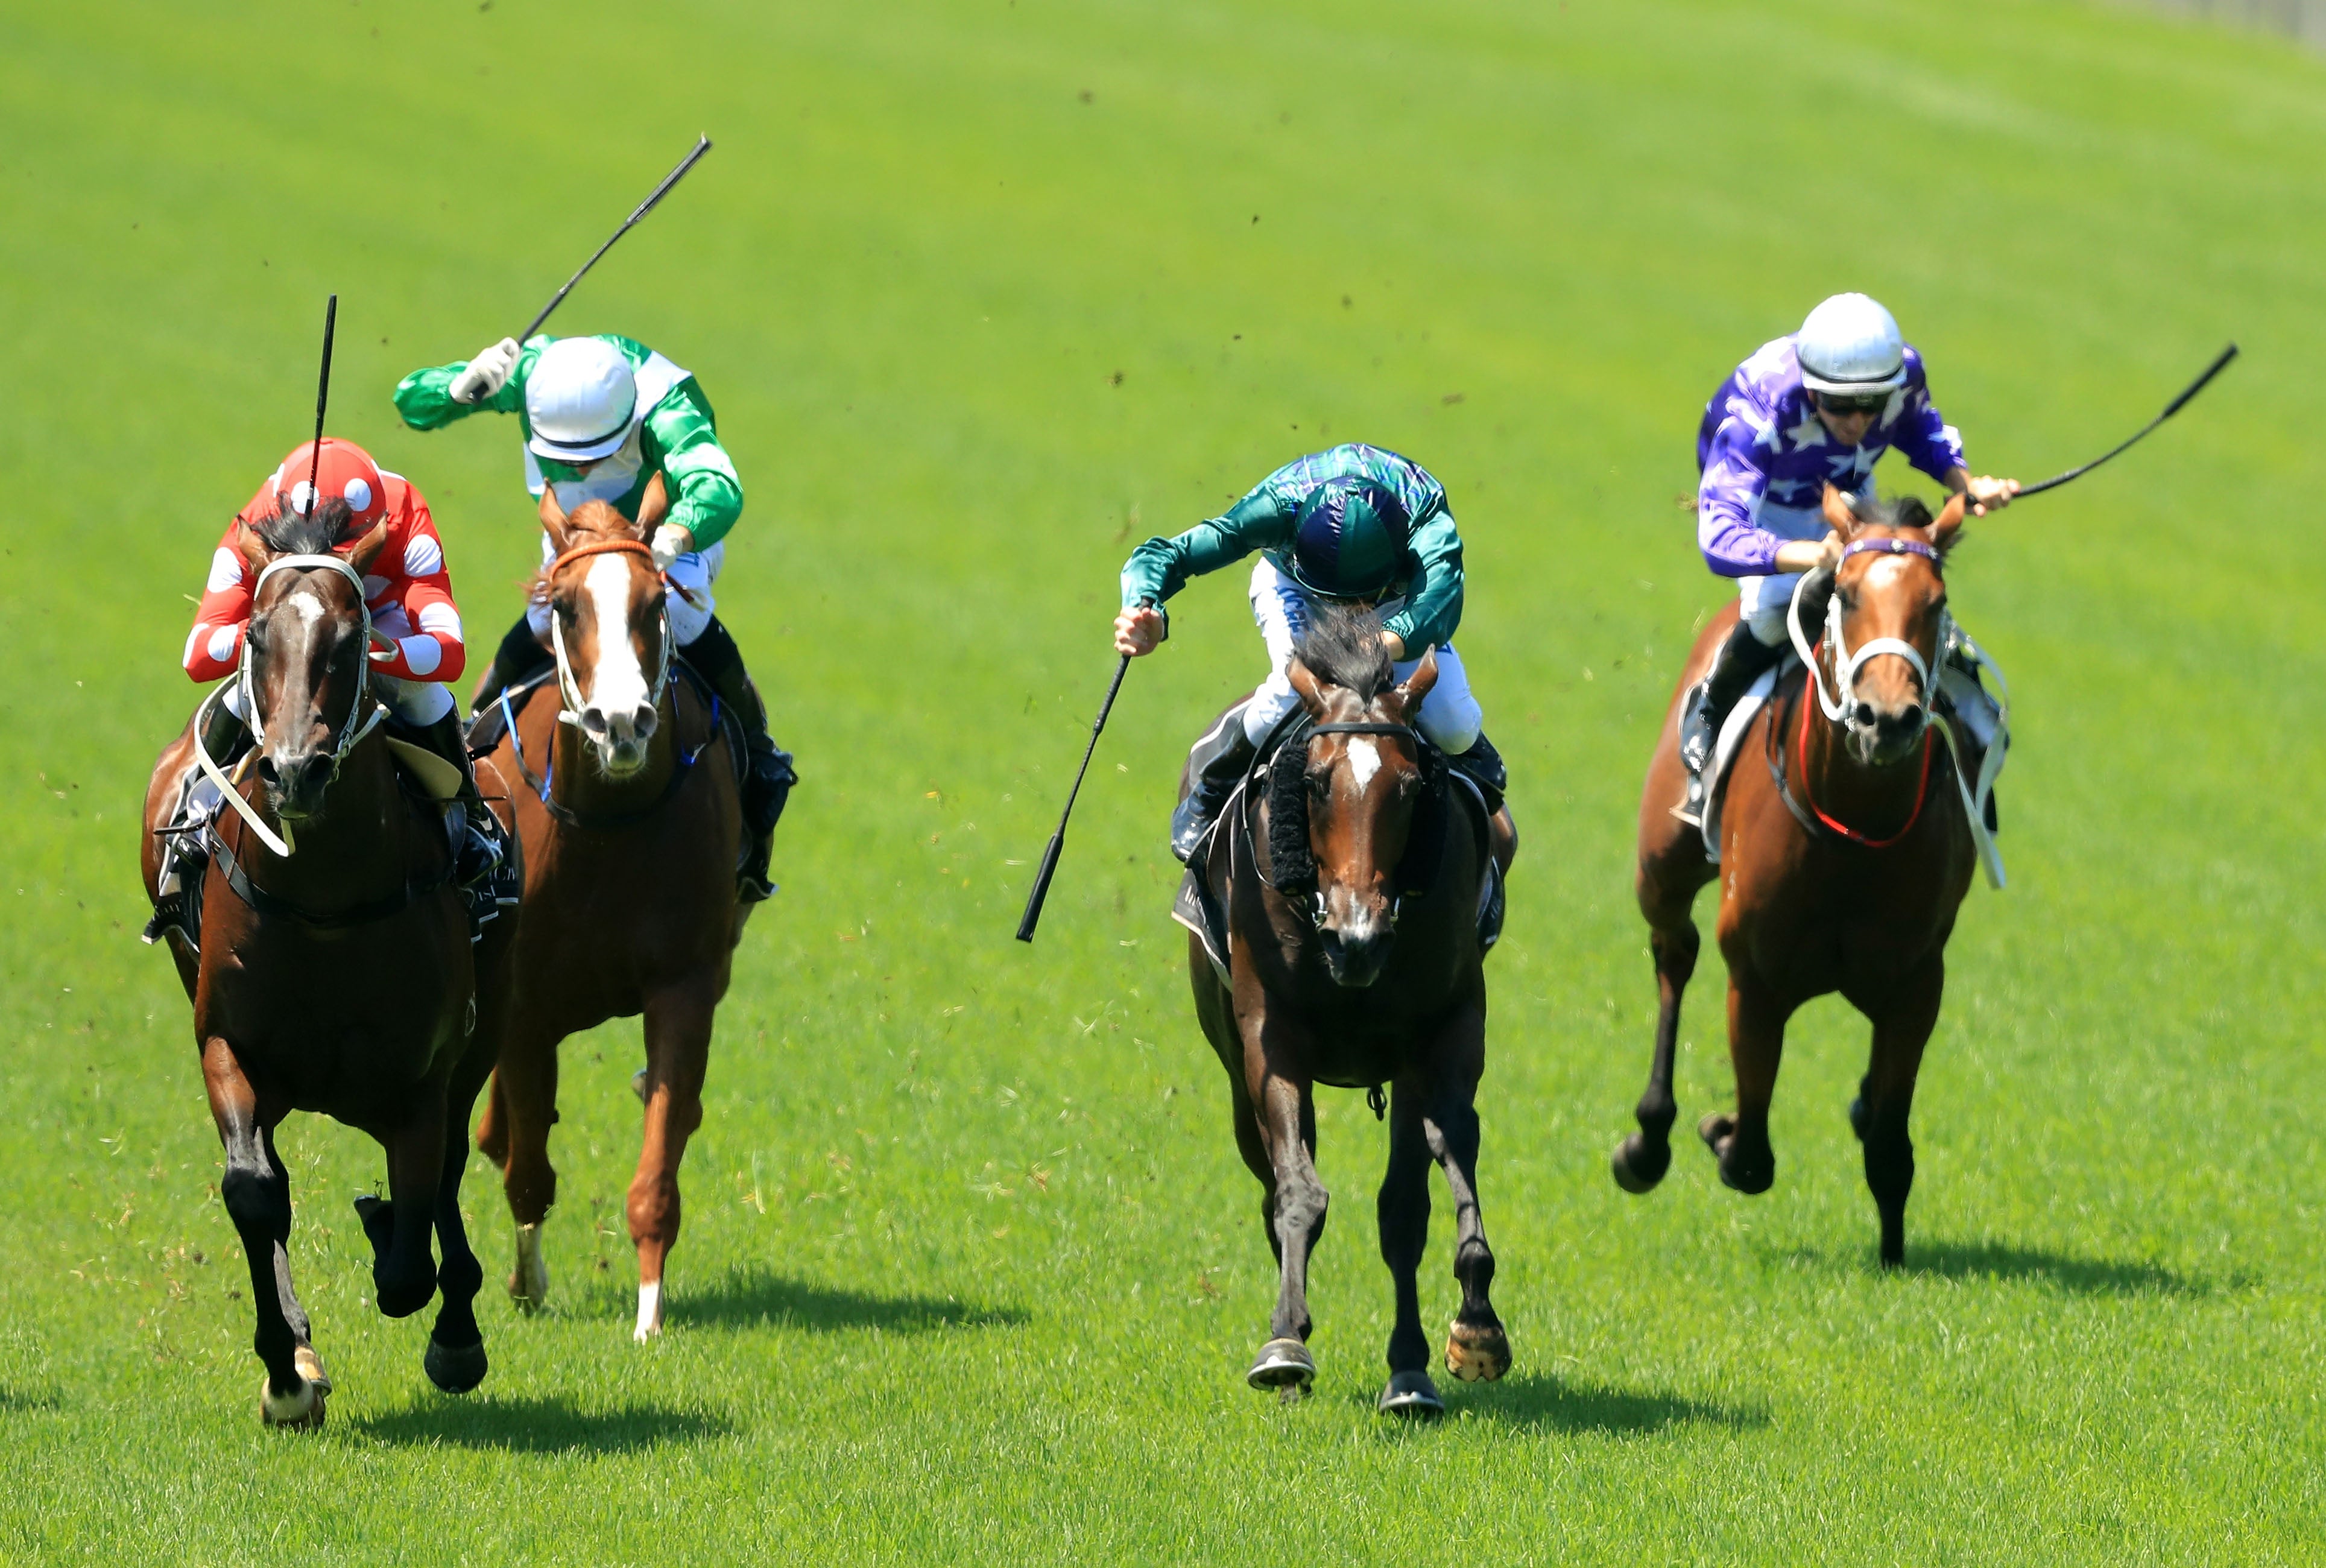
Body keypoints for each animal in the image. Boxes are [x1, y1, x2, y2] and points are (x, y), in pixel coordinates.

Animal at [143, 498, 516, 1414]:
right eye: (255, 636)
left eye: (349, 643)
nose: (293, 773)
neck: (322, 903)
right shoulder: (226, 1039)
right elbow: (254, 1190)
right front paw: (287, 1369)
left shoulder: (423, 1070)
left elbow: (412, 1245)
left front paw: (415, 1277)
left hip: (484, 1028)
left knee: (444, 1176)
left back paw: (455, 1325)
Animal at [474, 472, 753, 1330]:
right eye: (565, 607)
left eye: (654, 601)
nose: (622, 721)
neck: (605, 826)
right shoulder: (525, 1004)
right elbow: (527, 1172)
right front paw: (527, 1283)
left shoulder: (683, 983)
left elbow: (657, 1171)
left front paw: (648, 1316)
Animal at [1190, 604, 1516, 1414]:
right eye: (1311, 782)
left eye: (1408, 787)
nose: (1355, 936)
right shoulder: (1269, 1037)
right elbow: (1296, 1193)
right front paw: (1283, 1344)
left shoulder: (1443, 1029)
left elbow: (1429, 1178)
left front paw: (1470, 1328)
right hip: (1233, 1064)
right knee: (1272, 1184)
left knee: (1398, 1204)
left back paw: (1407, 1365)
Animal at [1619, 481, 1982, 1265]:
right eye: (1845, 593)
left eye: (1935, 600)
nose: (1885, 718)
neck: (1852, 830)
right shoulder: (1756, 978)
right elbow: (1751, 1152)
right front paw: (1718, 1129)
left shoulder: (1915, 984)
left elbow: (1888, 1145)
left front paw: (1892, 1250)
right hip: (1661, 866)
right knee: (1672, 952)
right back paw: (1648, 1139)